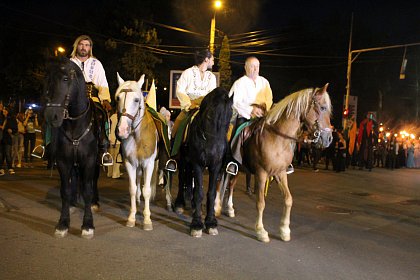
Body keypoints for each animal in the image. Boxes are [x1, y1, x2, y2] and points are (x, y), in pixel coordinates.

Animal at [43, 56, 98, 238]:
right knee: (74, 179)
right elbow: (65, 191)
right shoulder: (63, 161)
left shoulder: (89, 160)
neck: (76, 125)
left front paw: (88, 224)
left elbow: (87, 190)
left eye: (66, 79)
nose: (51, 116)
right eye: (47, 79)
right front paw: (63, 223)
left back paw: (95, 203)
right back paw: (74, 202)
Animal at [115, 74, 171, 230]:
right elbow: (133, 189)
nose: (122, 130)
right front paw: (131, 217)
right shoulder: (130, 163)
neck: (137, 135)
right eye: (118, 98)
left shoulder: (149, 163)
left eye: (136, 100)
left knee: (166, 178)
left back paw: (169, 202)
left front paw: (147, 220)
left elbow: (147, 190)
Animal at [173, 87, 233, 236]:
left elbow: (211, 193)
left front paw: (211, 222)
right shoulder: (198, 164)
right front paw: (196, 224)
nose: (216, 150)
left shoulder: (215, 166)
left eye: (230, 114)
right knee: (182, 178)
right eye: (210, 115)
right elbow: (199, 193)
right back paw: (180, 203)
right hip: (183, 160)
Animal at [217, 84, 332, 242]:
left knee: (231, 184)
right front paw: (261, 231)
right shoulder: (261, 174)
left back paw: (229, 209)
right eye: (322, 108)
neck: (277, 138)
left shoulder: (280, 173)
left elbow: (288, 199)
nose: (329, 139)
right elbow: (260, 203)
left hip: (238, 168)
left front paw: (284, 230)